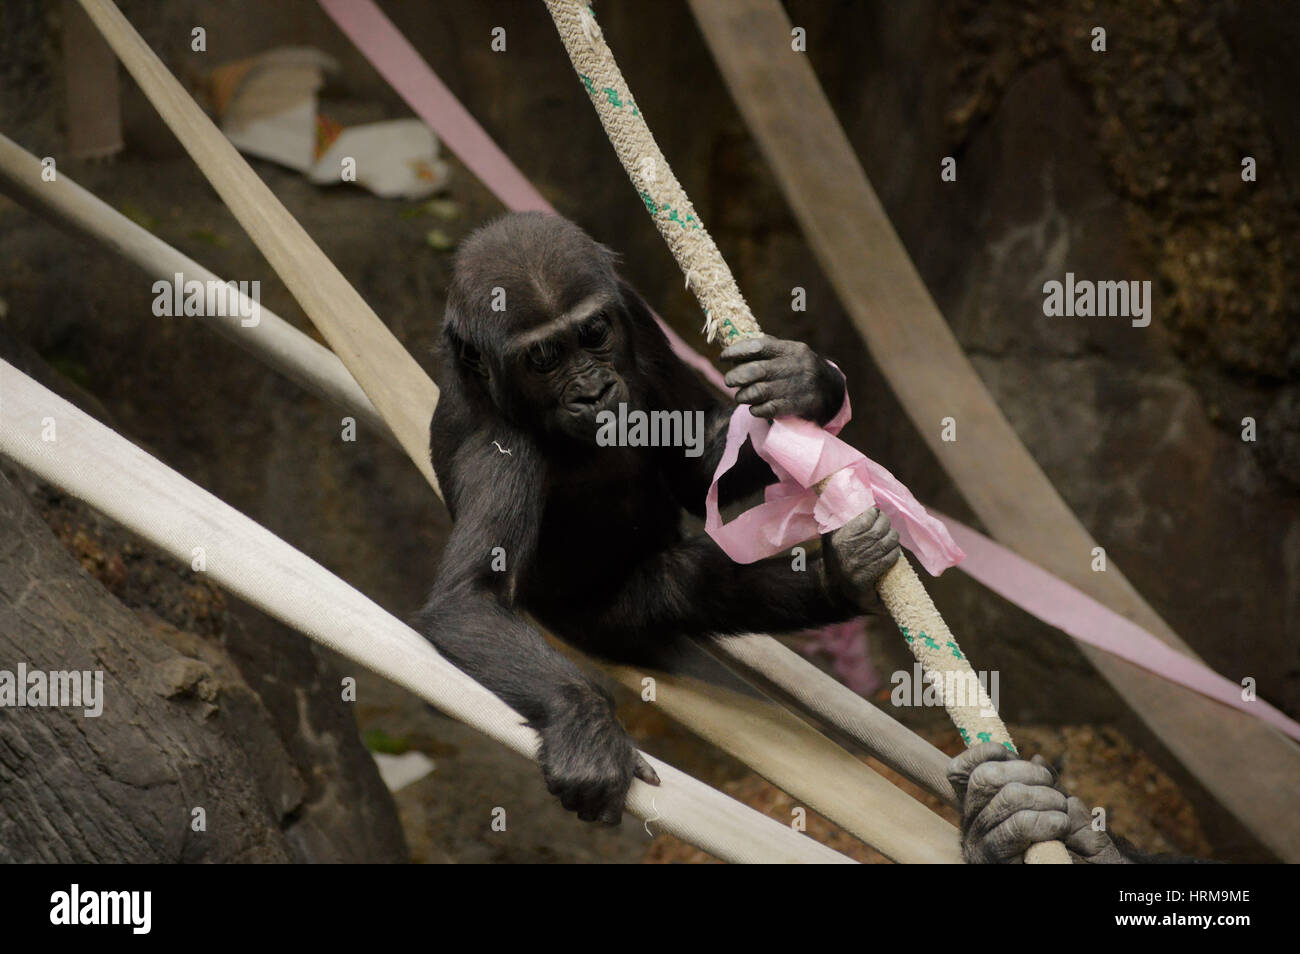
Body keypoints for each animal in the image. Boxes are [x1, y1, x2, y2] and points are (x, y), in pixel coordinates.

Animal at [418, 212, 900, 824]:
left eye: (594, 332)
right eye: (543, 358)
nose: (593, 390)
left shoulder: (634, 313)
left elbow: (695, 466)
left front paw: (810, 384)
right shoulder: (495, 442)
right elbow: (469, 599)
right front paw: (586, 729)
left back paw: (843, 575)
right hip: (598, 618)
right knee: (678, 586)